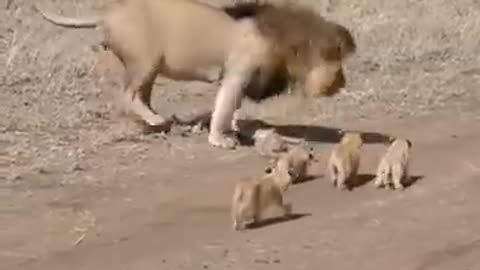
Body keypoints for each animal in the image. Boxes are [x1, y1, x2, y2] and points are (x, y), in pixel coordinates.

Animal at [34, 0, 356, 149]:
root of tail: (108, 14)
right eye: (335, 59)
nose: (343, 82)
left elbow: (232, 109)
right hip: (144, 59)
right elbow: (224, 106)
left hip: (151, 67)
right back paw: (156, 120)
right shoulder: (237, 73)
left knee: (142, 95)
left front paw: (234, 129)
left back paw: (160, 121)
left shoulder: (241, 79)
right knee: (127, 95)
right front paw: (220, 139)